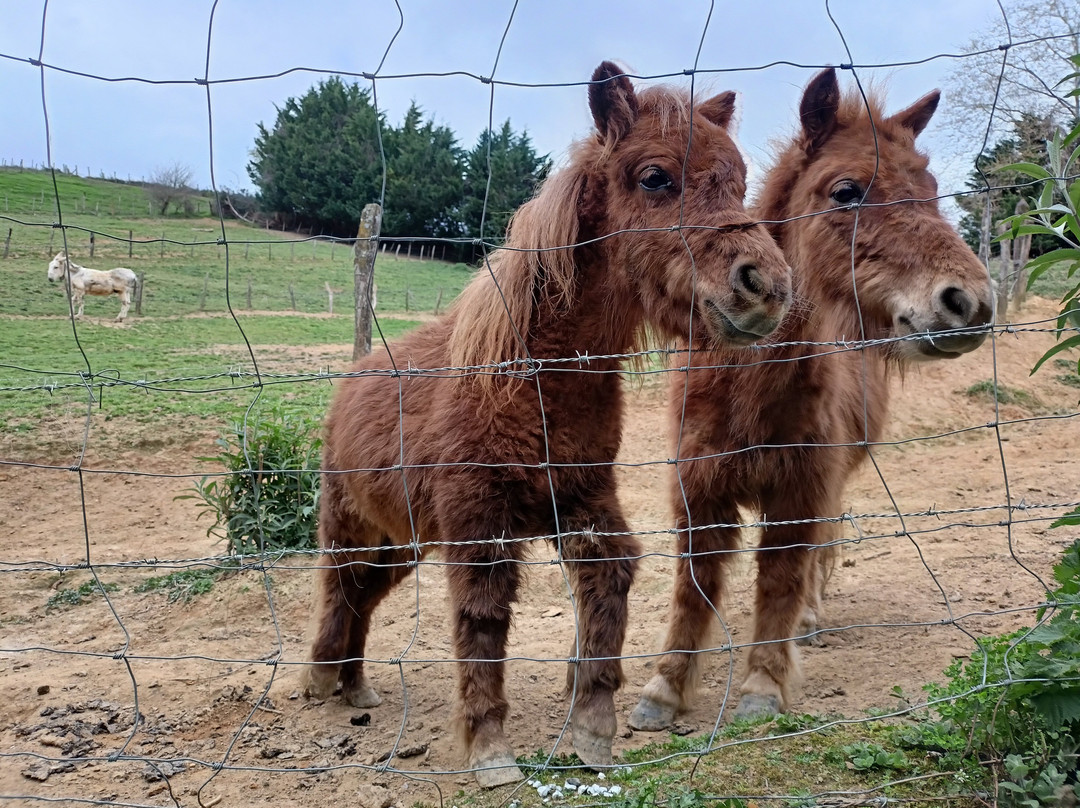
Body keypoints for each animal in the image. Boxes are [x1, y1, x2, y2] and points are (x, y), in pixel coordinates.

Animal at [304, 63, 794, 790]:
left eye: (737, 181)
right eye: (655, 178)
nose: (766, 286)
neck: (529, 381)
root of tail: (351, 382)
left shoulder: (584, 501)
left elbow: (609, 583)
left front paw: (592, 729)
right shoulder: (479, 524)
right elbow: (482, 621)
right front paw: (489, 748)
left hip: (404, 540)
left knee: (363, 597)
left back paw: (355, 684)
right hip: (351, 524)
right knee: (338, 587)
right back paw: (318, 681)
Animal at [630, 66, 993, 730]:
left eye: (931, 187)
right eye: (846, 190)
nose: (969, 302)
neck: (745, 387)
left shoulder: (801, 489)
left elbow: (780, 578)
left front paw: (763, 685)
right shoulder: (697, 488)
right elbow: (693, 585)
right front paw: (664, 689)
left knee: (822, 547)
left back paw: (809, 619)